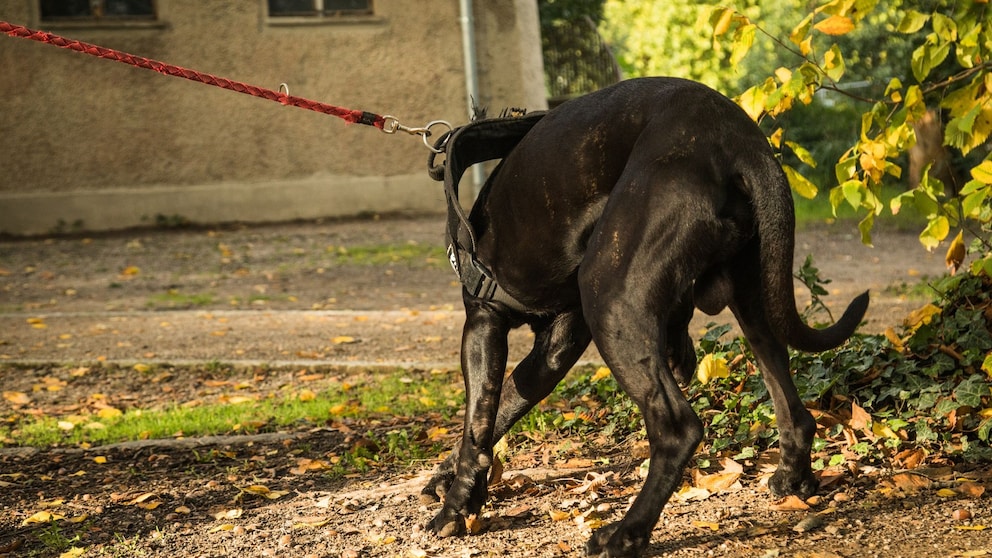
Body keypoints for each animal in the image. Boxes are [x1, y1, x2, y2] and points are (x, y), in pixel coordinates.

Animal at [420, 79, 868, 558]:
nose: (681, 358)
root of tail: (738, 140)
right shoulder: (556, 348)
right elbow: (501, 406)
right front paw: (452, 479)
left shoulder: (484, 322)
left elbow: (478, 420)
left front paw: (456, 507)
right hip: (753, 299)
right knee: (789, 402)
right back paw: (793, 478)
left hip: (611, 298)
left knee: (677, 428)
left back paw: (624, 534)